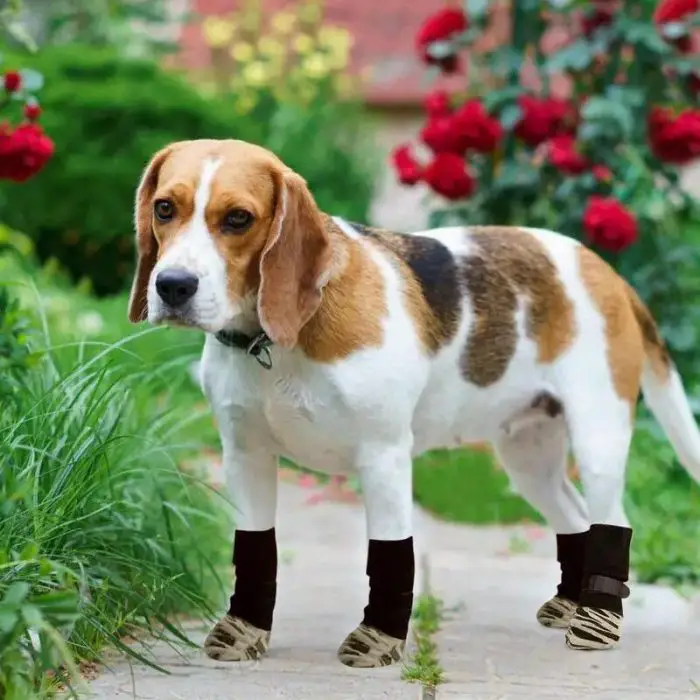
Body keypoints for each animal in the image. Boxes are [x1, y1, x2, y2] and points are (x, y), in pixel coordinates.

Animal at [129, 138, 700, 668]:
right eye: (165, 208)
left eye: (238, 219)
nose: (172, 286)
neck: (274, 341)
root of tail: (607, 271)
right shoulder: (245, 456)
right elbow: (254, 549)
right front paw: (244, 628)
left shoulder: (382, 456)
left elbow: (389, 554)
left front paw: (379, 639)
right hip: (529, 457)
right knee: (576, 516)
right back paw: (570, 603)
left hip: (598, 437)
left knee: (613, 521)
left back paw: (597, 621)